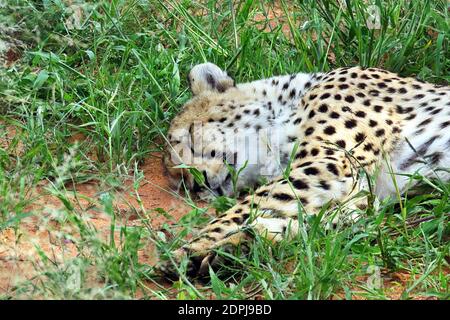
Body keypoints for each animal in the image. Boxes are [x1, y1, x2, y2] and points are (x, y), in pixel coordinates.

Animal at [159, 62, 450, 278]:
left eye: (190, 134)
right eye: (180, 181)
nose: (195, 184)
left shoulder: (332, 160)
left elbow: (245, 207)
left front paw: (191, 248)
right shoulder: (363, 198)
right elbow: (317, 222)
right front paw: (235, 248)